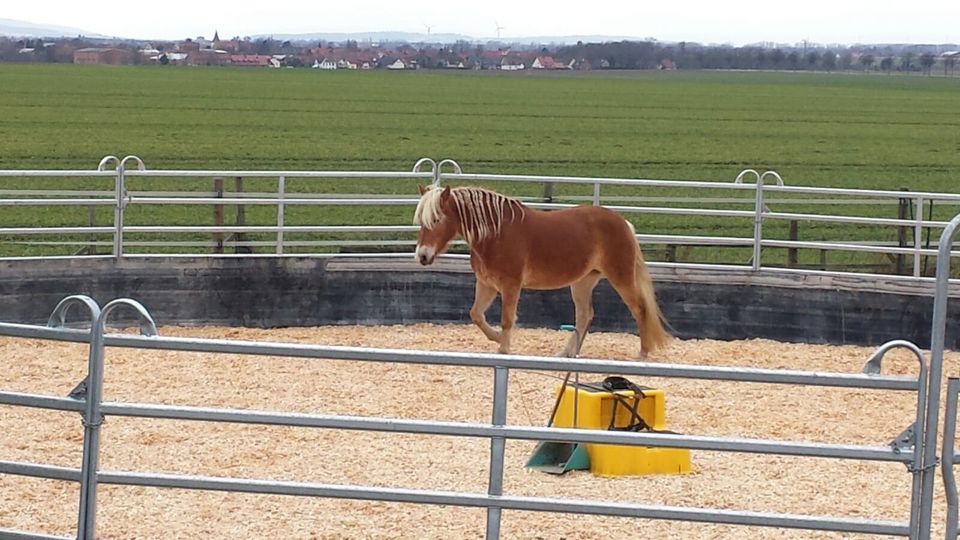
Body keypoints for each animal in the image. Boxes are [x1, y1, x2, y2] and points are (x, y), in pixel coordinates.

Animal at [410, 186, 668, 358]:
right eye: (421, 221)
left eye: (436, 219)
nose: (422, 256)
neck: (496, 234)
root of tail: (624, 223)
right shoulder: (486, 284)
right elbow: (476, 315)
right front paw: (496, 339)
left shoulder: (510, 285)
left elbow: (506, 319)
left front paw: (504, 349)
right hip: (583, 282)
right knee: (584, 315)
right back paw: (567, 353)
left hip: (620, 277)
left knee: (640, 309)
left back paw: (643, 354)